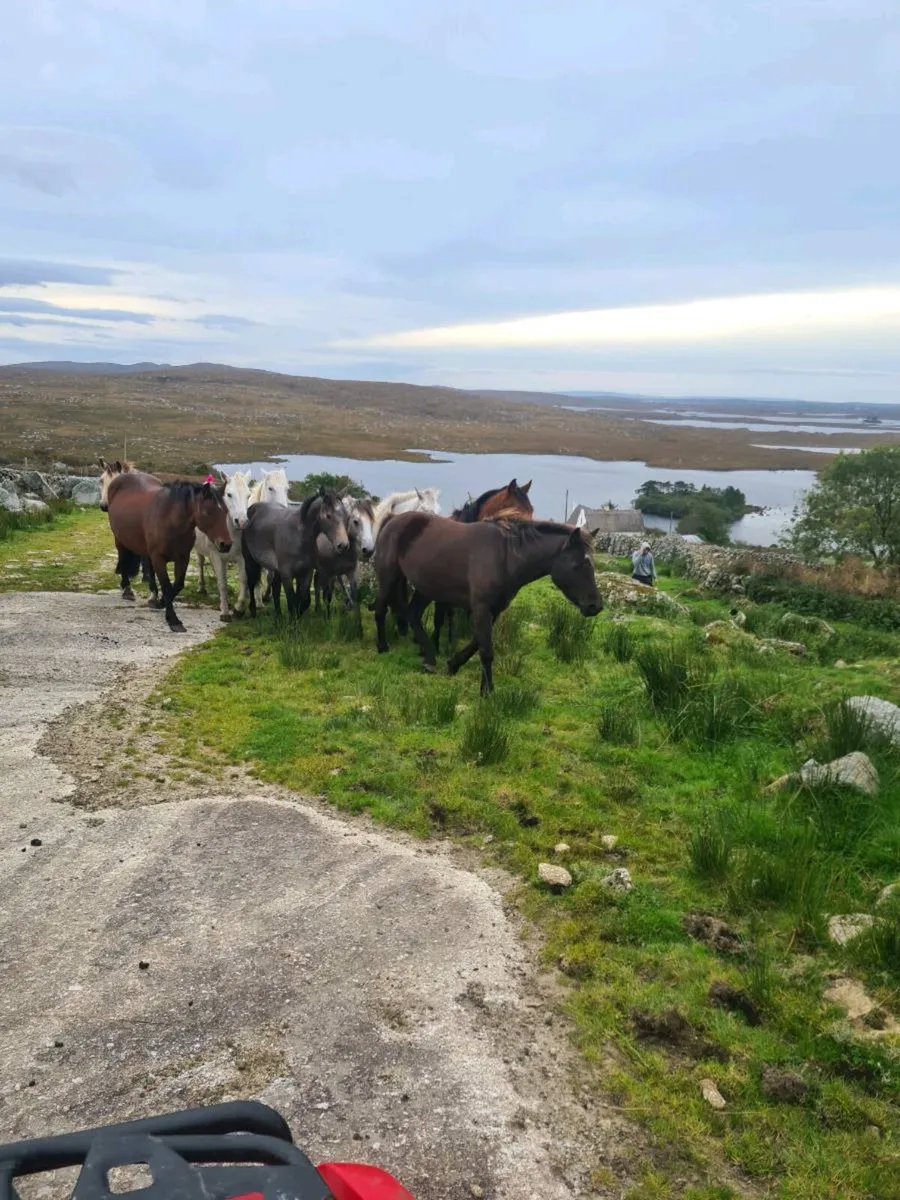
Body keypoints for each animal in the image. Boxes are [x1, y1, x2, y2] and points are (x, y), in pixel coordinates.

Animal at [105, 471, 232, 632]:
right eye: (207, 512)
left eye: (226, 511)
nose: (225, 544)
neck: (171, 520)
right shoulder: (159, 558)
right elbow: (166, 585)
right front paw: (173, 619)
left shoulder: (183, 558)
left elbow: (177, 585)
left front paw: (161, 602)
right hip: (119, 539)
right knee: (123, 559)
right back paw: (127, 590)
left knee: (148, 568)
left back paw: (152, 595)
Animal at [195, 471, 252, 622]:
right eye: (229, 494)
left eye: (248, 495)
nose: (242, 522)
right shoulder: (215, 555)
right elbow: (222, 583)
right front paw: (225, 612)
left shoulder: (241, 557)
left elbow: (244, 580)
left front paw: (238, 609)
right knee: (201, 563)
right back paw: (201, 588)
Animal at [241, 488, 350, 619]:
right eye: (328, 516)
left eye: (346, 516)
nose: (343, 545)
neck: (298, 535)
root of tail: (252, 509)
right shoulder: (287, 575)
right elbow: (292, 601)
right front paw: (293, 622)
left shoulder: (305, 573)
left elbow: (303, 600)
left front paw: (297, 618)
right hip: (250, 561)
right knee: (251, 583)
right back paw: (253, 610)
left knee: (275, 588)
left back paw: (278, 617)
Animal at [313, 496, 376, 629]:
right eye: (356, 521)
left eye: (371, 522)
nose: (369, 550)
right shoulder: (327, 572)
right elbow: (327, 595)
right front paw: (328, 619)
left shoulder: (351, 572)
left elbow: (355, 595)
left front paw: (358, 627)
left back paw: (318, 608)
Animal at [374, 514, 602, 694]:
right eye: (578, 565)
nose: (596, 606)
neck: (506, 556)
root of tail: (392, 520)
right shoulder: (482, 607)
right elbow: (486, 650)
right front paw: (487, 691)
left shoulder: (494, 609)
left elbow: (477, 643)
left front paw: (454, 664)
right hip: (389, 577)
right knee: (381, 610)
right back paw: (383, 646)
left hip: (426, 587)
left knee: (413, 615)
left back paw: (429, 659)